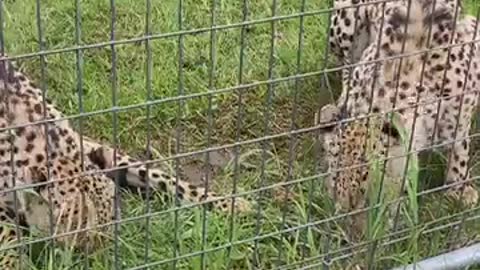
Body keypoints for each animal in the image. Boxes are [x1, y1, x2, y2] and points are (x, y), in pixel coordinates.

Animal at [0, 55, 251, 268]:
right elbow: (9, 237)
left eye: (110, 219)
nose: (100, 259)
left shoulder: (94, 150)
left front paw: (230, 203)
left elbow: (158, 175)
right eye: (78, 233)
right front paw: (16, 264)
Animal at [318, 0, 480, 224]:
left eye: (368, 180)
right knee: (346, 63)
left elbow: (459, 146)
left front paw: (460, 188)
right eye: (335, 179)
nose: (344, 213)